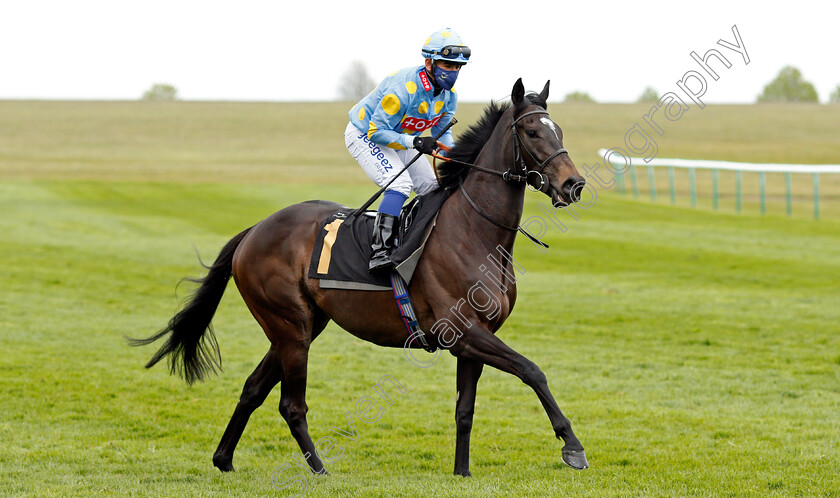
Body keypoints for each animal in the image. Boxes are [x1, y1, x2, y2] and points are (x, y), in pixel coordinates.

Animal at [131, 79, 592, 478]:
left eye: (558, 129)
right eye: (532, 131)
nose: (574, 184)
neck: (473, 231)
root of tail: (255, 230)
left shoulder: (474, 337)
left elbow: (465, 410)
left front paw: (462, 472)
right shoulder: (462, 331)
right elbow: (532, 370)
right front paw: (572, 446)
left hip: (301, 326)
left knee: (253, 389)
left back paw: (224, 459)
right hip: (290, 328)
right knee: (291, 405)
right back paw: (319, 470)